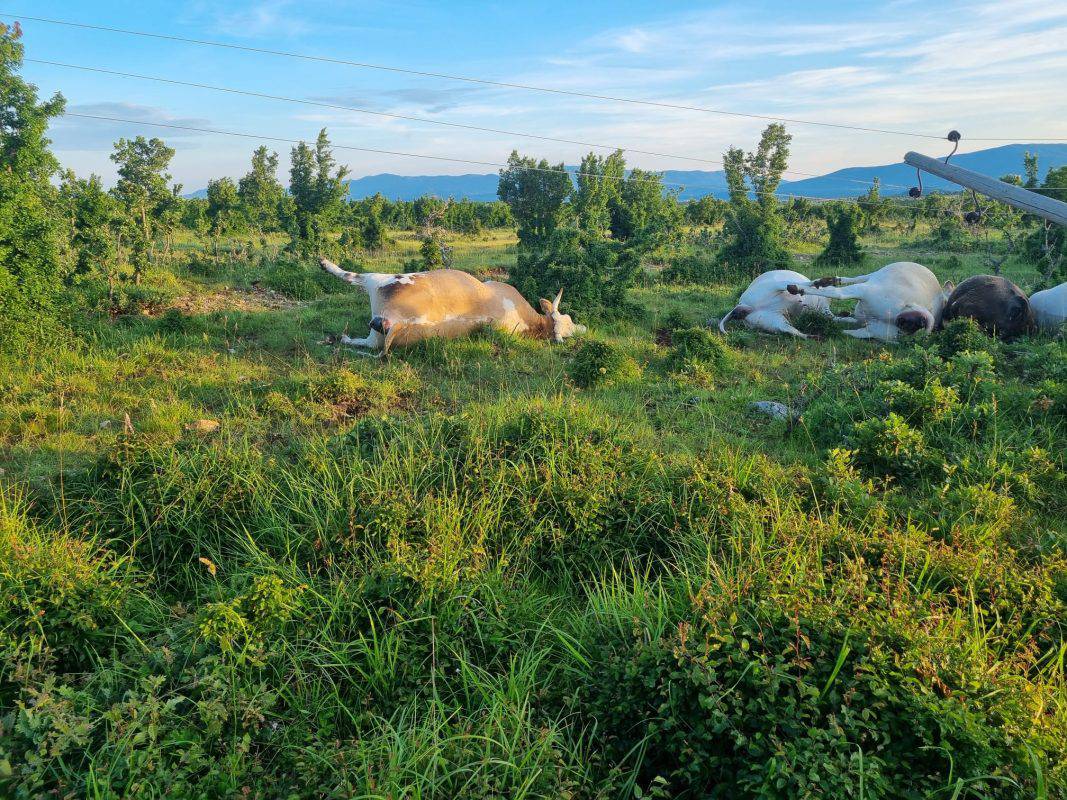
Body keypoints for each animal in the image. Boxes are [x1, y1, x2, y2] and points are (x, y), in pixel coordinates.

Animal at [320, 260, 588, 354]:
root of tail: (399, 324)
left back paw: (325, 264)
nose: (582, 328)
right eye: (568, 319)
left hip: (382, 281)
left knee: (354, 277)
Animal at [785, 261, 951, 339]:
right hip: (875, 275)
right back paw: (827, 281)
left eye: (912, 329)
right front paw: (797, 288)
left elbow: (844, 325)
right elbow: (838, 294)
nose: (905, 322)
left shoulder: (866, 327)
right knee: (857, 278)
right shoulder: (866, 290)